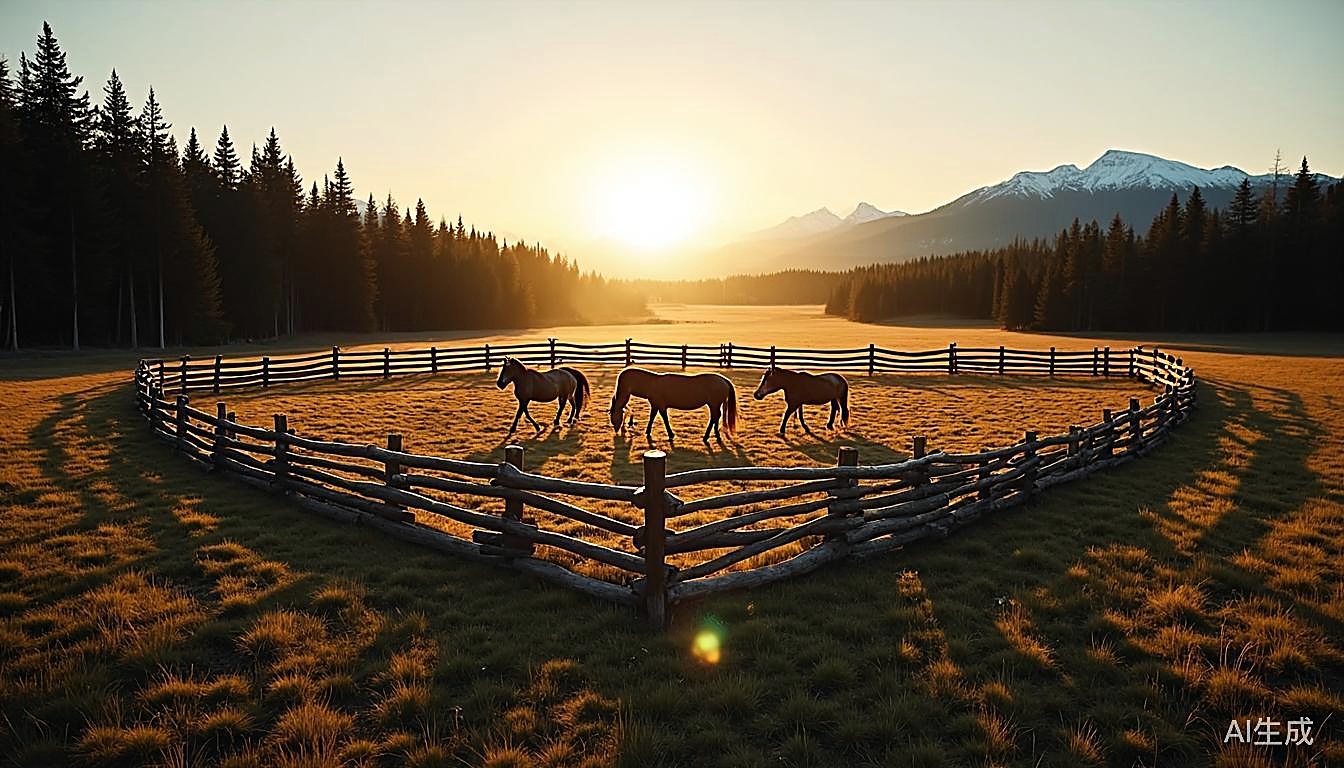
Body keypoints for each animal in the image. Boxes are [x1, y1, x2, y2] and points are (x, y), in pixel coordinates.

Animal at [609, 367, 738, 443]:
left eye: (614, 416)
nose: (616, 430)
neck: (651, 384)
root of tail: (724, 380)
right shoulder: (655, 405)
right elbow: (652, 417)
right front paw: (648, 431)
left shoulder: (661, 406)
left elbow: (664, 418)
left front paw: (670, 434)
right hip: (715, 404)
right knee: (717, 416)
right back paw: (716, 434)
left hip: (713, 404)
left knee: (714, 417)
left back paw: (706, 436)